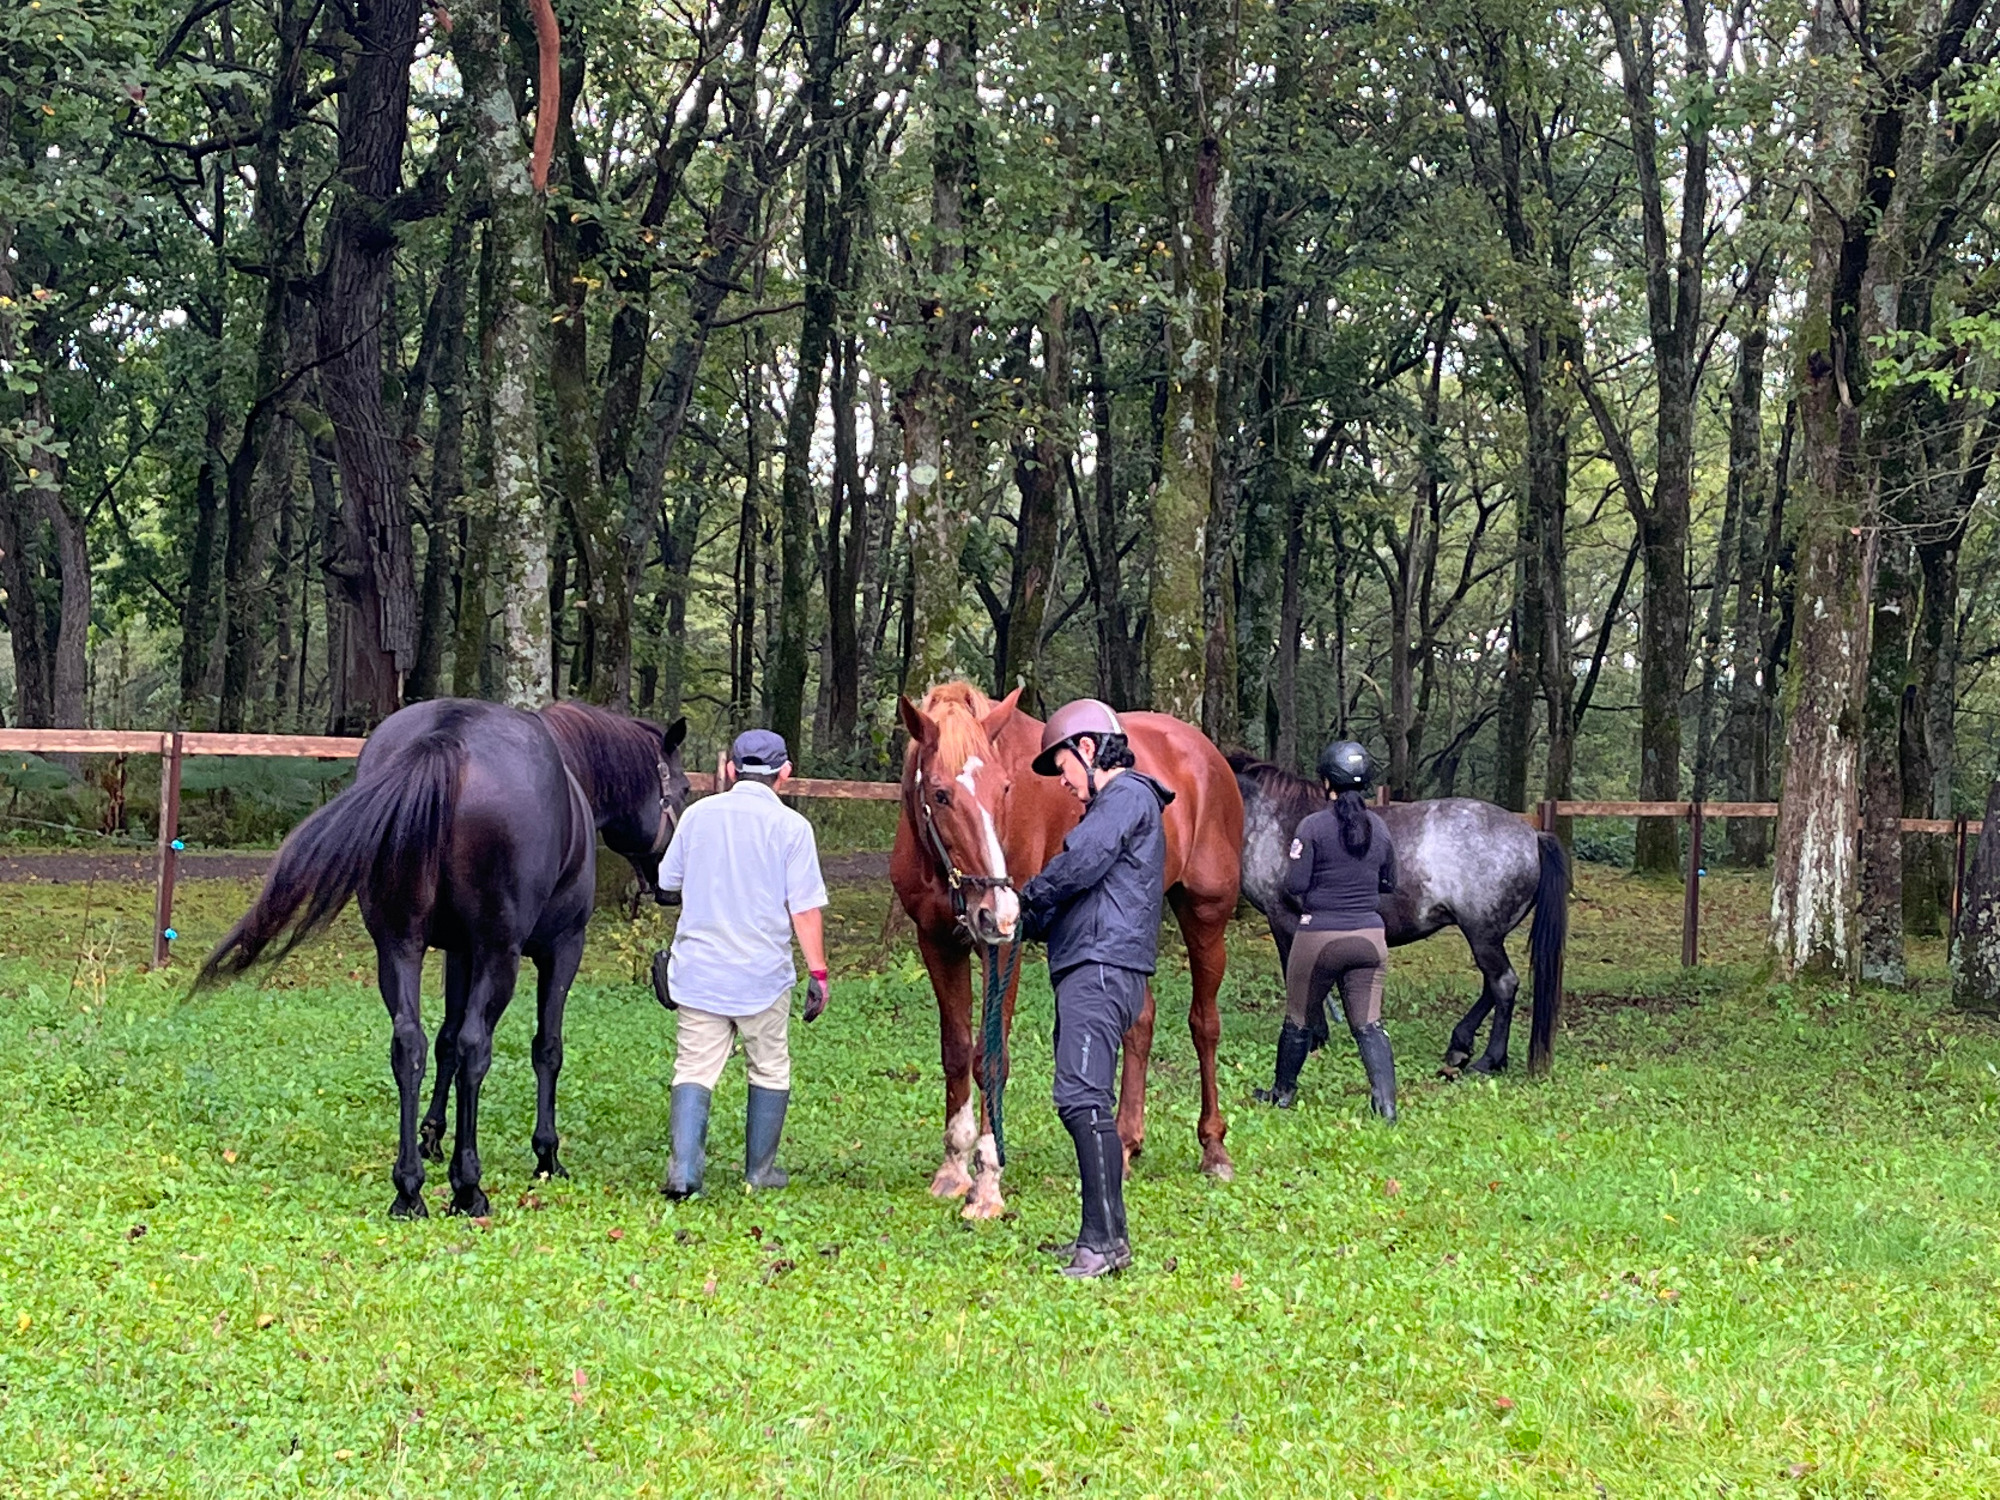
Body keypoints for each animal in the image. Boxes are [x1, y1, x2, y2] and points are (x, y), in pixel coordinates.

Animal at [197, 704, 688, 1224]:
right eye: (681, 789)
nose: (669, 885)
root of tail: (446, 737)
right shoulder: (558, 948)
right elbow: (544, 1048)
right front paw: (546, 1154)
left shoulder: (458, 952)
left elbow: (445, 1041)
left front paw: (432, 1134)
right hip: (499, 954)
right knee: (476, 1047)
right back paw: (468, 1186)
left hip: (399, 946)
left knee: (409, 1044)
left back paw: (409, 1188)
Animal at [888, 684, 1232, 1224]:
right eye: (940, 794)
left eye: (1006, 789)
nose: (1000, 909)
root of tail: (1205, 754)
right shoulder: (937, 943)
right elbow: (957, 1051)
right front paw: (953, 1167)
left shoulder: (1000, 950)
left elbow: (991, 1058)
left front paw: (987, 1183)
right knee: (1141, 1021)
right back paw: (1126, 1145)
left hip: (1206, 915)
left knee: (1205, 1025)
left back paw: (1214, 1148)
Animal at [1224, 756, 1568, 1072]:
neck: (1274, 817)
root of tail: (1533, 836)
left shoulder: (1283, 918)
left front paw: (1315, 1037)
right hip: (1487, 937)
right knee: (1492, 985)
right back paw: (1460, 1045)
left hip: (1483, 935)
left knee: (1503, 984)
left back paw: (1489, 1059)